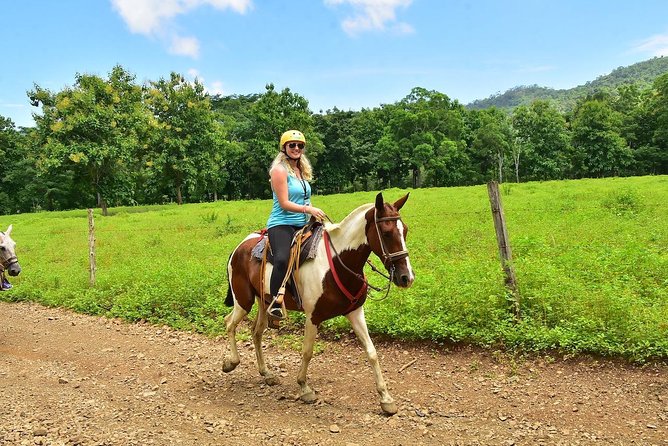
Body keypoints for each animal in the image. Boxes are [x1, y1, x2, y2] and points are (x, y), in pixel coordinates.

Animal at [223, 192, 412, 414]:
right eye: (387, 232)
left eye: (405, 230)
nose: (406, 277)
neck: (337, 262)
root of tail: (239, 247)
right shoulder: (313, 317)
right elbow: (307, 352)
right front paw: (304, 388)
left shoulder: (355, 312)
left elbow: (372, 352)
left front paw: (386, 398)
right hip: (243, 300)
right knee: (229, 323)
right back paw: (231, 363)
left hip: (264, 301)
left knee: (256, 332)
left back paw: (267, 374)